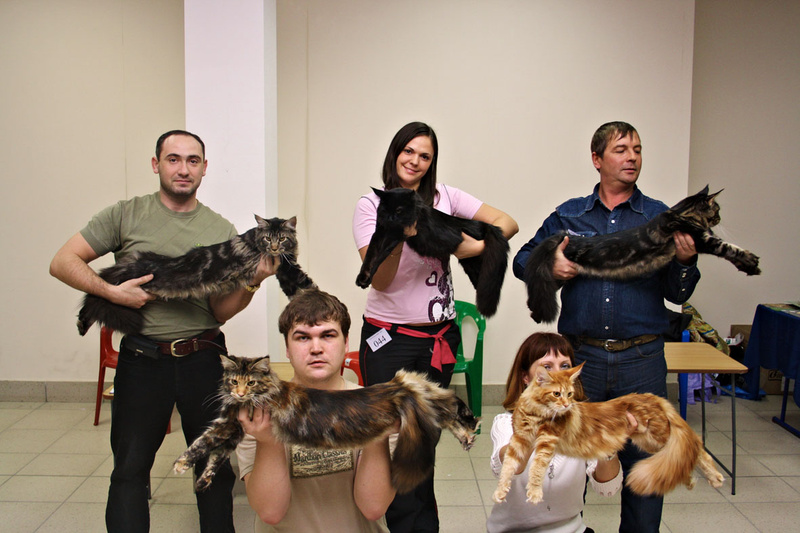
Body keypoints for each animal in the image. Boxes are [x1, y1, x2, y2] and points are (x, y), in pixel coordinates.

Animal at [77, 215, 316, 336]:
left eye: (282, 238)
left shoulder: (284, 273)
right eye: (268, 238)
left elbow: (298, 295)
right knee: (96, 296)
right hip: (120, 288)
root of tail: (132, 261)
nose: (274, 248)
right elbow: (309, 288)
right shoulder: (288, 270)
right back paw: (81, 324)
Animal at [174, 353, 481, 493]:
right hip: (425, 405)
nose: (238, 393)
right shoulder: (235, 431)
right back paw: (468, 435)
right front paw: (202, 481)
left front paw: (181, 464)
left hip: (426, 406)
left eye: (250, 383)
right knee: (447, 406)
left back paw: (470, 430)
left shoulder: (227, 425)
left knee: (451, 403)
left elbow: (201, 443)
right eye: (233, 380)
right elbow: (216, 457)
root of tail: (398, 384)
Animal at [355, 187, 509, 317]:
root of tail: (485, 225)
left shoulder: (396, 235)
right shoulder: (379, 234)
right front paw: (362, 277)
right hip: (471, 266)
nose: (390, 218)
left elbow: (379, 257)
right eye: (385, 210)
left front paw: (368, 278)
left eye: (399, 210)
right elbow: (369, 257)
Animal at [492, 363, 724, 505]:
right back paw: (690, 480)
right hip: (651, 442)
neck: (535, 412)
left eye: (570, 394)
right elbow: (507, 467)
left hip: (659, 436)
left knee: (695, 447)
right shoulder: (519, 440)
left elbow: (537, 469)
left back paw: (715, 477)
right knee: (682, 456)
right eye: (557, 394)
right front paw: (501, 491)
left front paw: (534, 492)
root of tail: (652, 397)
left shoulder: (546, 441)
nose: (567, 405)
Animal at [523, 186, 761, 323]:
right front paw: (750, 262)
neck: (682, 212)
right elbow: (728, 247)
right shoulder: (700, 238)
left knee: (533, 299)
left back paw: (534, 314)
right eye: (717, 209)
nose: (719, 218)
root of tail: (568, 237)